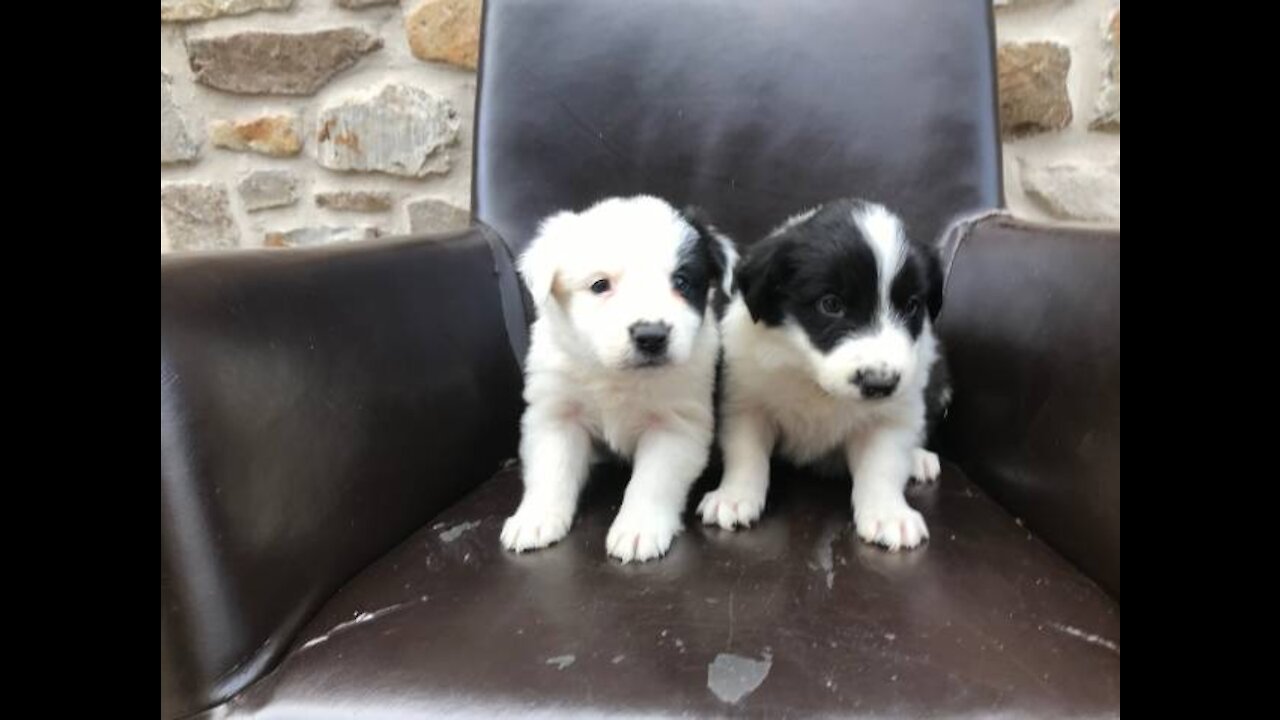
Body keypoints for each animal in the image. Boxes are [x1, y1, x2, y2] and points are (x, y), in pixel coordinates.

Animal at [501, 194, 742, 561]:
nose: (651, 336)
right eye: (600, 285)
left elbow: (652, 479)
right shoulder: (556, 412)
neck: (614, 374)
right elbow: (551, 468)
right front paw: (536, 519)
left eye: (681, 282)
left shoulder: (675, 424)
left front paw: (639, 529)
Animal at [701, 198, 952, 545]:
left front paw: (889, 514)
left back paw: (918, 458)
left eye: (912, 305)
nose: (880, 384)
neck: (814, 380)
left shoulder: (891, 414)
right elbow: (746, 453)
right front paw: (735, 497)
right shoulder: (747, 401)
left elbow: (883, 464)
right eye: (831, 304)